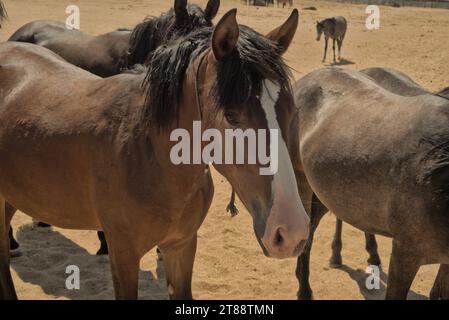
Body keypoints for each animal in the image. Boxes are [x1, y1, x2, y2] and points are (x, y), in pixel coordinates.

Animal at [0, 10, 308, 300]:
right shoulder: (123, 253)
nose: (291, 233)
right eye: (231, 116)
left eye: (291, 110)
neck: (149, 156)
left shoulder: (181, 246)